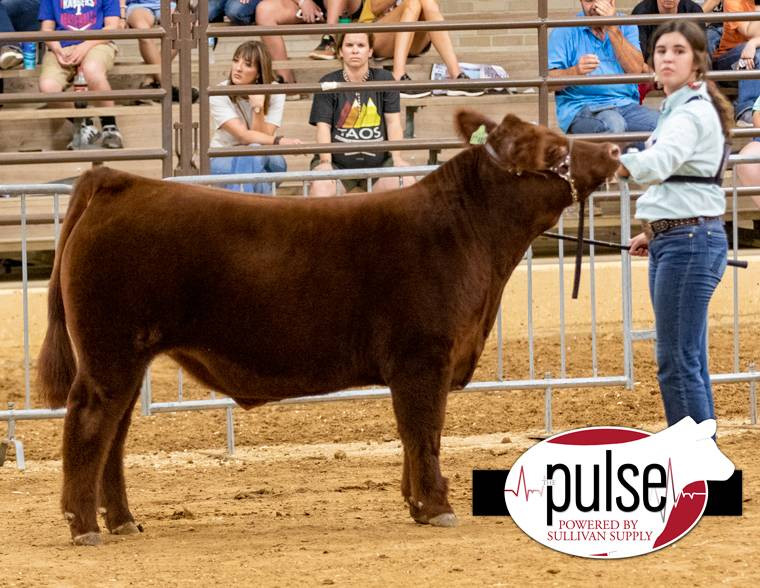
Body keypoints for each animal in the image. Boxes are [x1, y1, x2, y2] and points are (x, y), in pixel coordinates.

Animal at [37, 109, 621, 545]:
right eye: (551, 147)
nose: (615, 152)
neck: (471, 237)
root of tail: (120, 180)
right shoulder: (422, 357)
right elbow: (425, 432)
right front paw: (437, 506)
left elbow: (412, 436)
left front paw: (416, 504)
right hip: (111, 351)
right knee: (89, 421)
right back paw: (84, 526)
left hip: (127, 356)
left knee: (115, 433)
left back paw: (123, 521)